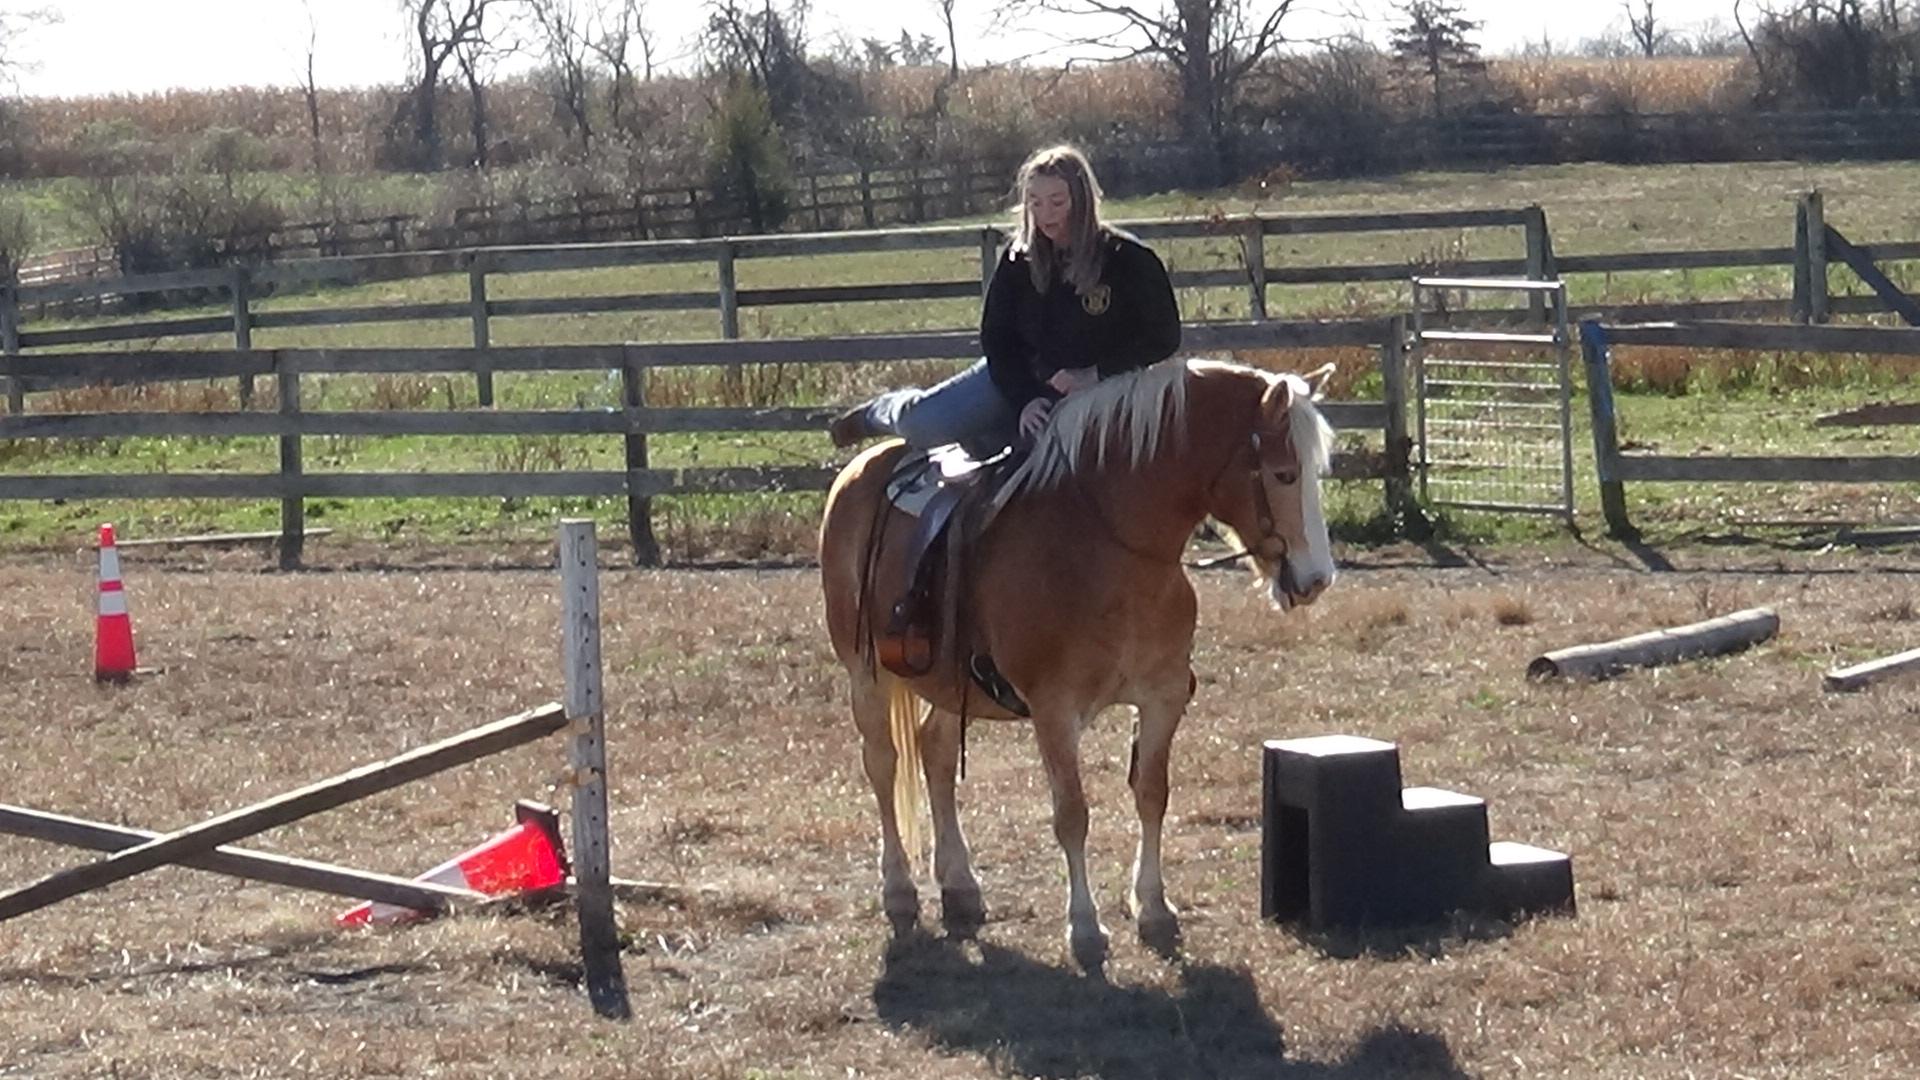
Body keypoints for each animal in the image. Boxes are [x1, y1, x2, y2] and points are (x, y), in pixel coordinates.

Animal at [818, 357, 1338, 968]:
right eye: (1283, 474)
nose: (1317, 579)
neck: (1110, 546)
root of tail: (862, 468)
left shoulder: (1161, 698)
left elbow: (1151, 795)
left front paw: (1154, 908)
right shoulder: (1054, 710)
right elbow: (1072, 814)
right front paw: (1086, 928)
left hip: (949, 682)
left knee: (935, 753)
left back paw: (960, 885)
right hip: (865, 672)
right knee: (883, 763)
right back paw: (899, 890)